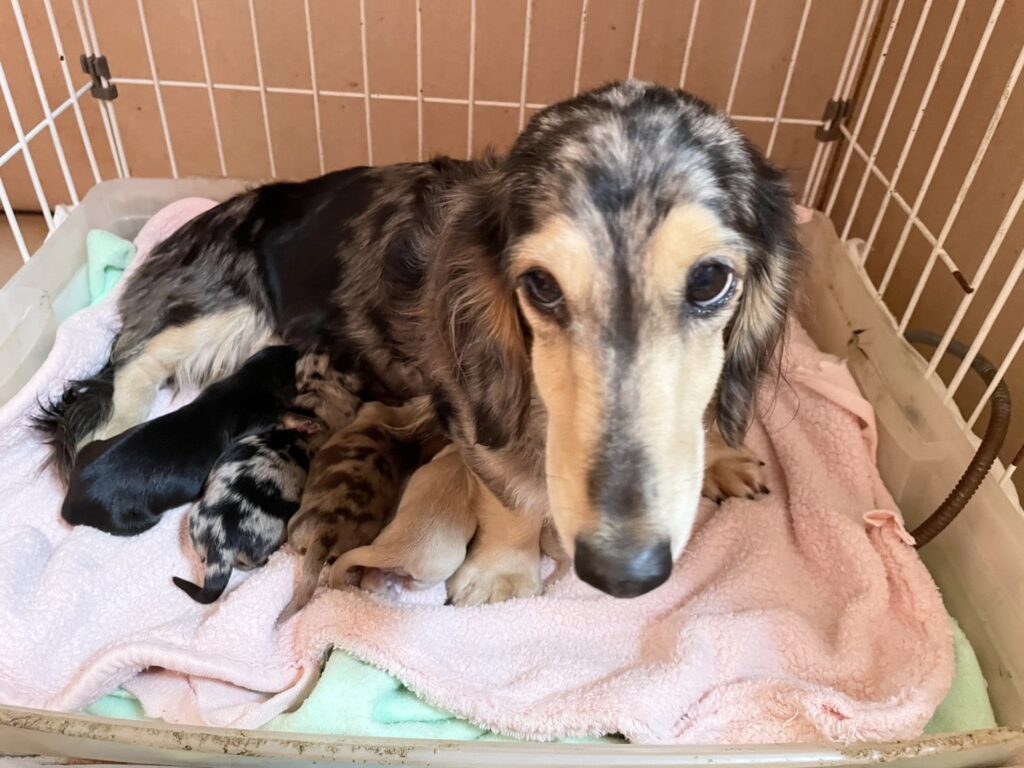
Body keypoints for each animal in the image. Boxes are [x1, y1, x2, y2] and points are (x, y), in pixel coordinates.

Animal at [60, 345, 299, 536]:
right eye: (293, 363)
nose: (294, 347)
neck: (251, 378)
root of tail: (68, 502)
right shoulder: (261, 418)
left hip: (92, 448)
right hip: (126, 519)